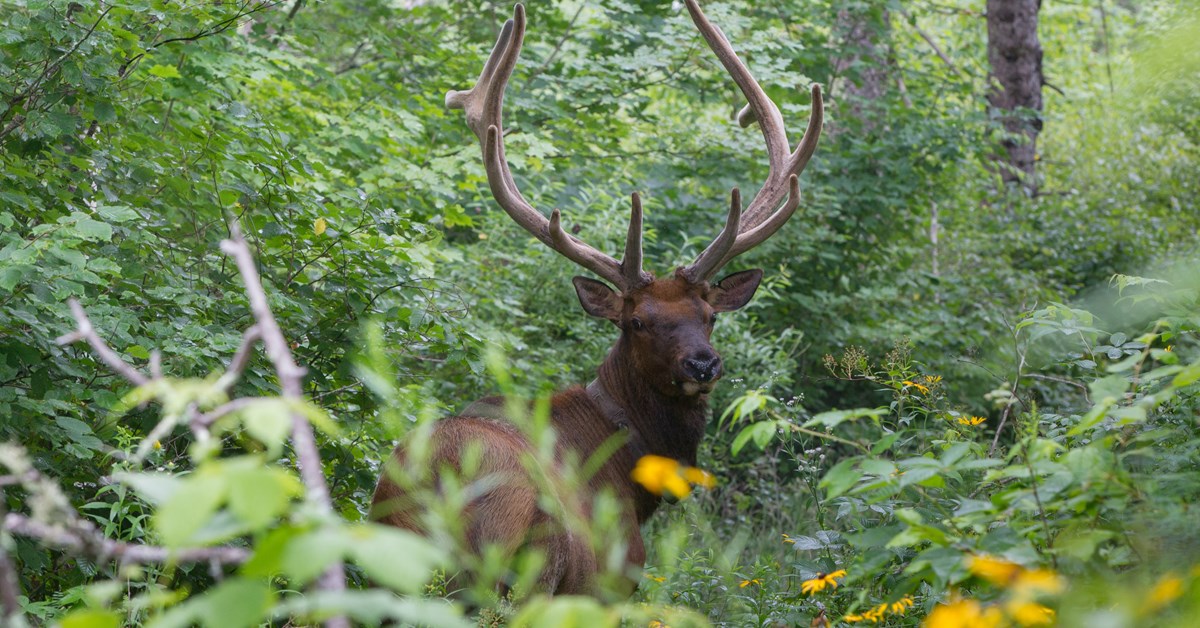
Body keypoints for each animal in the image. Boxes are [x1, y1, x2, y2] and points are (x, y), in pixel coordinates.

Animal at [371, 0, 823, 597]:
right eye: (636, 322)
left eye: (709, 316)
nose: (703, 364)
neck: (627, 474)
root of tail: (439, 488)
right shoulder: (611, 581)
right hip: (524, 572)